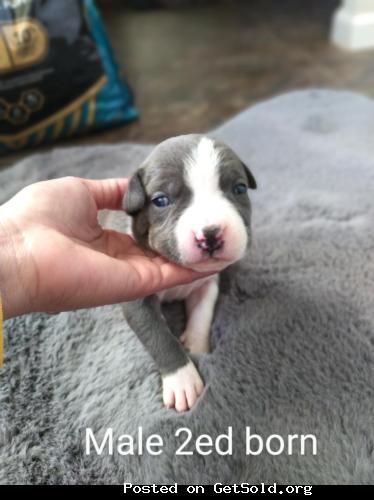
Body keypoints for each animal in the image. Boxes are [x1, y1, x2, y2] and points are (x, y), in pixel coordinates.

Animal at [121, 133, 256, 410]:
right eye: (160, 200)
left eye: (239, 189)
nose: (211, 234)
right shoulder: (137, 299)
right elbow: (159, 337)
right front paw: (183, 381)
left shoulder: (207, 284)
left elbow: (202, 314)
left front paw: (195, 345)